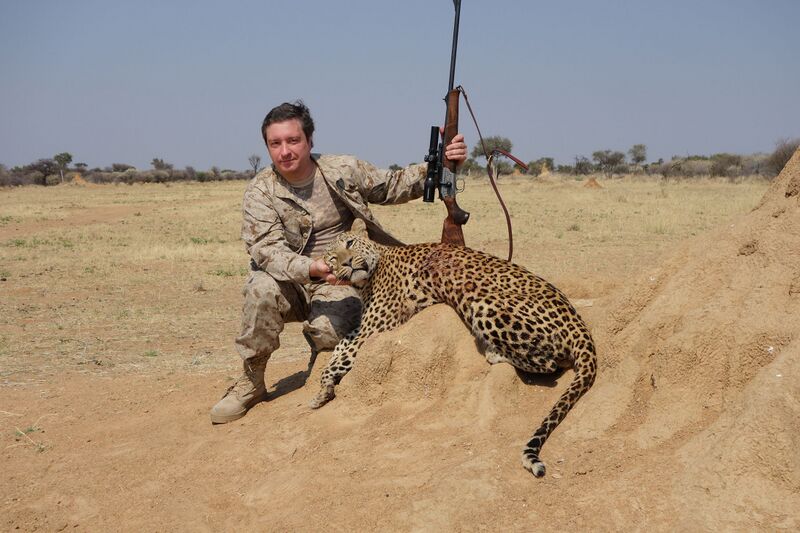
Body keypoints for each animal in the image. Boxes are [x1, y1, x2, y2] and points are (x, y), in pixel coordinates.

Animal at [309, 218, 597, 478]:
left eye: (350, 243)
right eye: (333, 258)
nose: (346, 262)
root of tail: (578, 322)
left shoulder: (374, 329)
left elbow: (340, 358)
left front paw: (323, 389)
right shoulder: (363, 328)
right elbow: (339, 347)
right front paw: (322, 392)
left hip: (482, 303)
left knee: (549, 363)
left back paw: (494, 353)